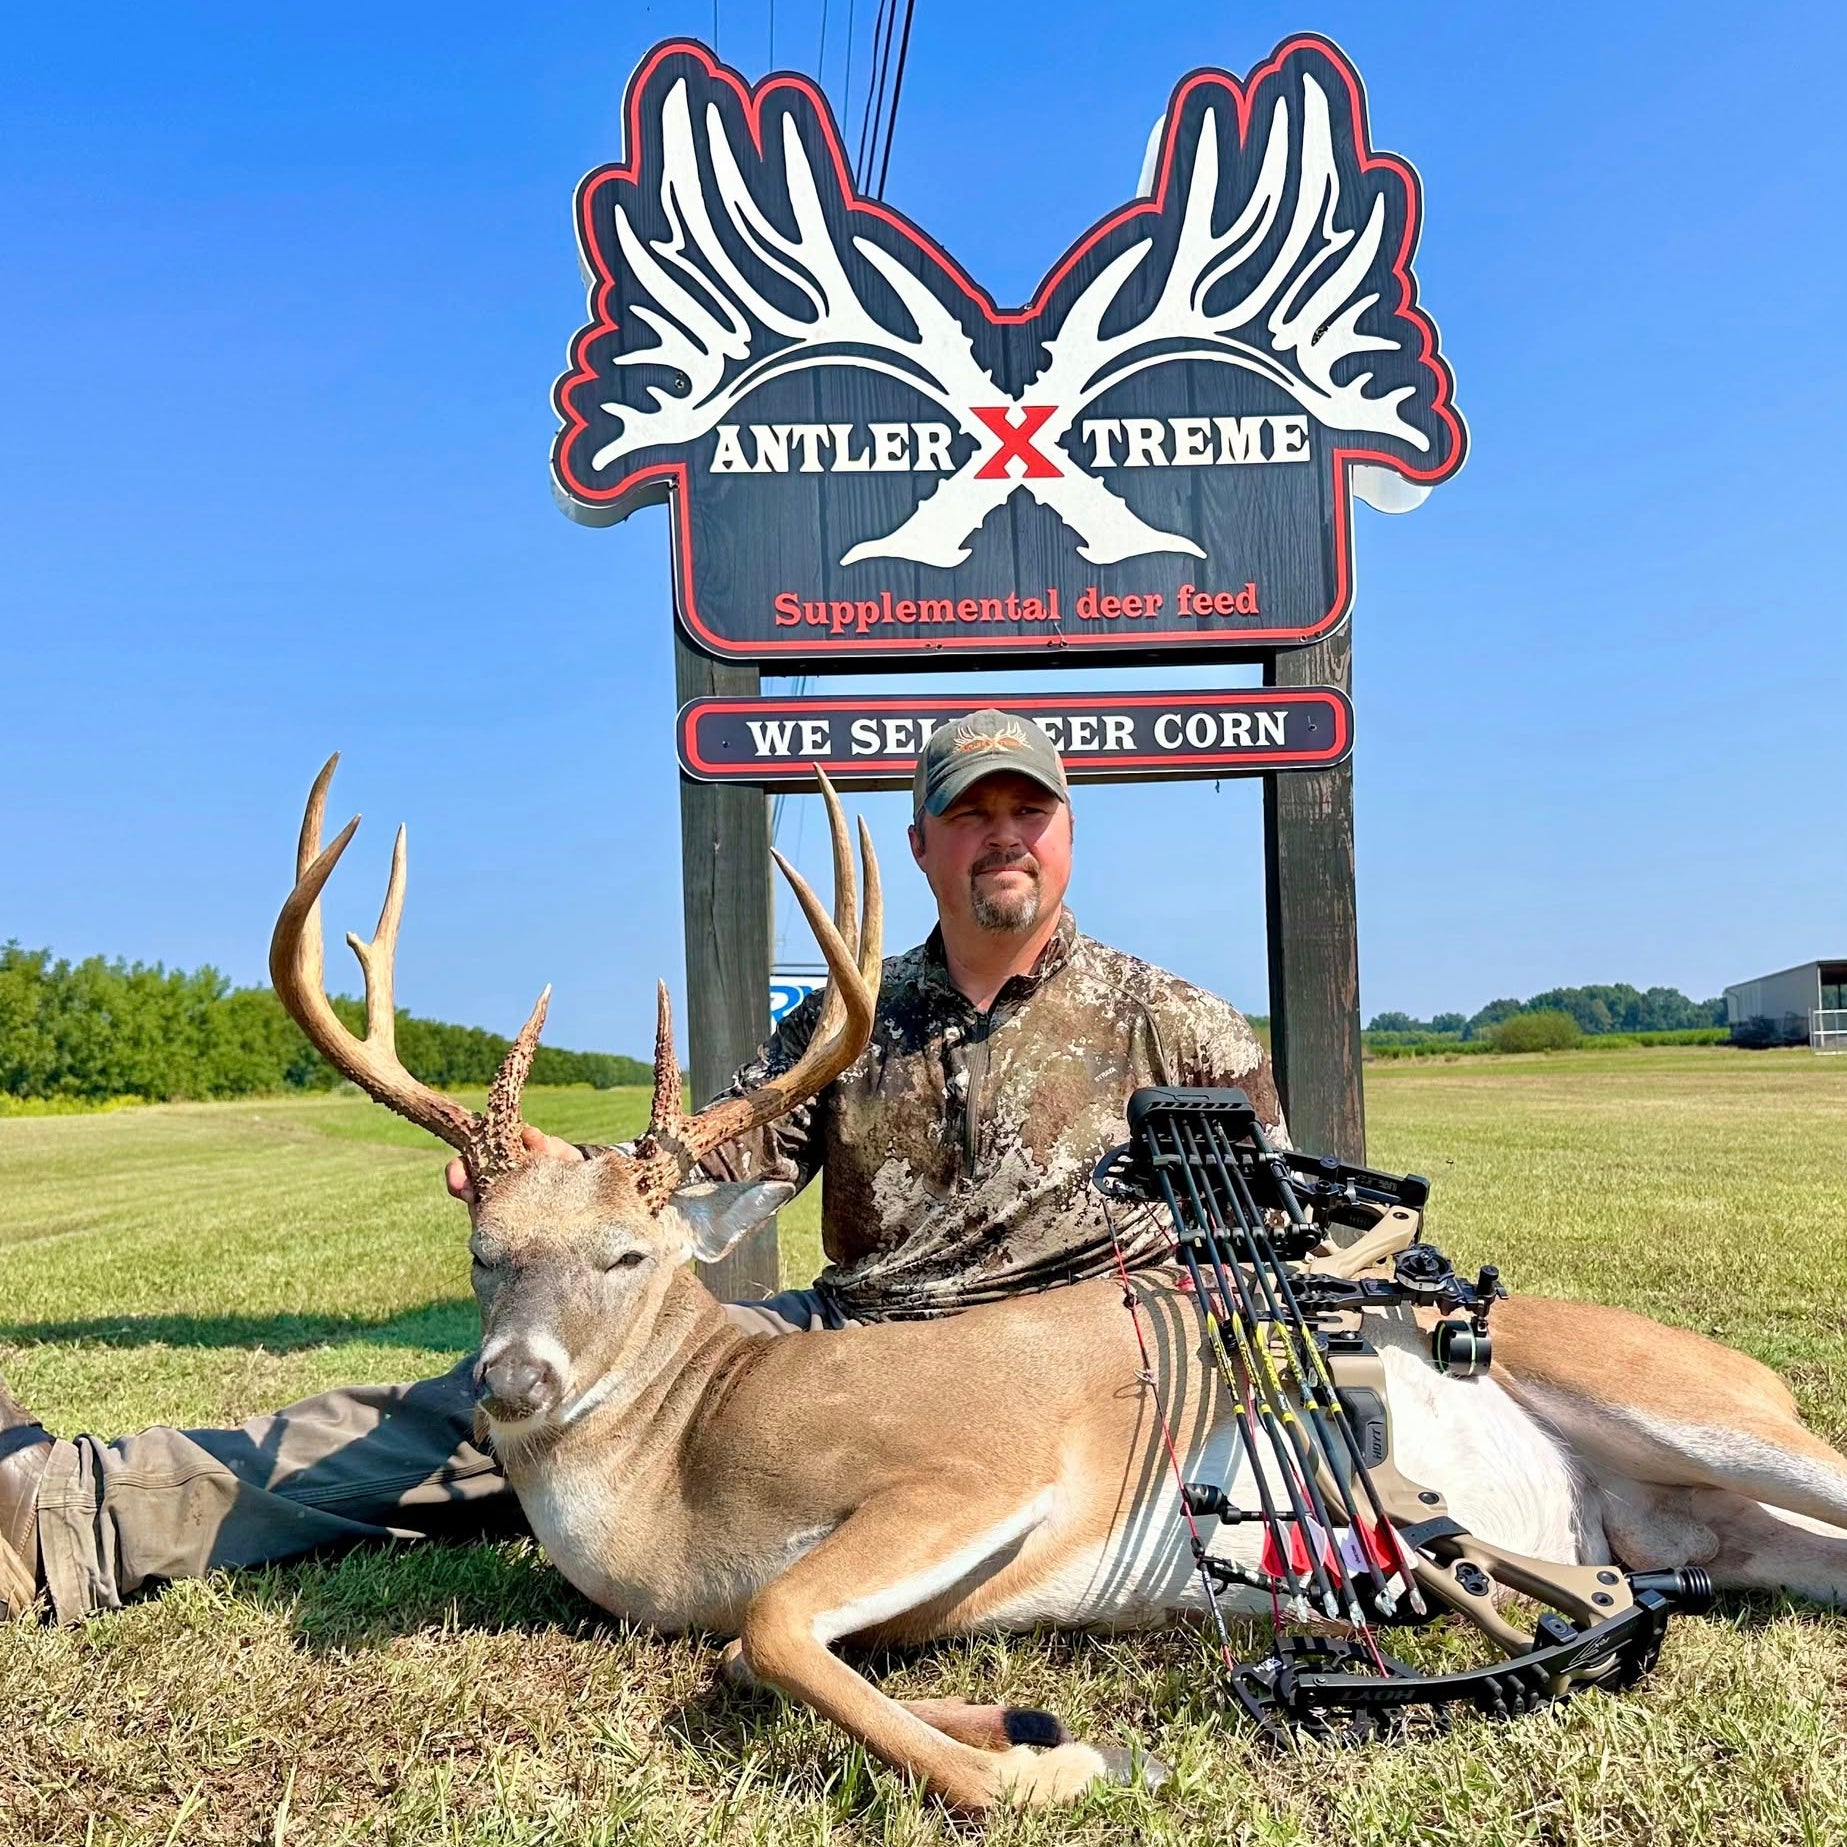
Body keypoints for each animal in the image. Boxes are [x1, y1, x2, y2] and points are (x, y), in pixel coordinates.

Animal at [271, 757, 1847, 1814]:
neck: (675, 1469)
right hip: (1695, 1521)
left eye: (629, 1253)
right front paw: (1016, 1718)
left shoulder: (971, 1462)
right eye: (485, 1248)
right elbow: (747, 1654)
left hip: (1682, 1396)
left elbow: (770, 1626)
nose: (509, 1379)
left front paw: (1067, 1752)